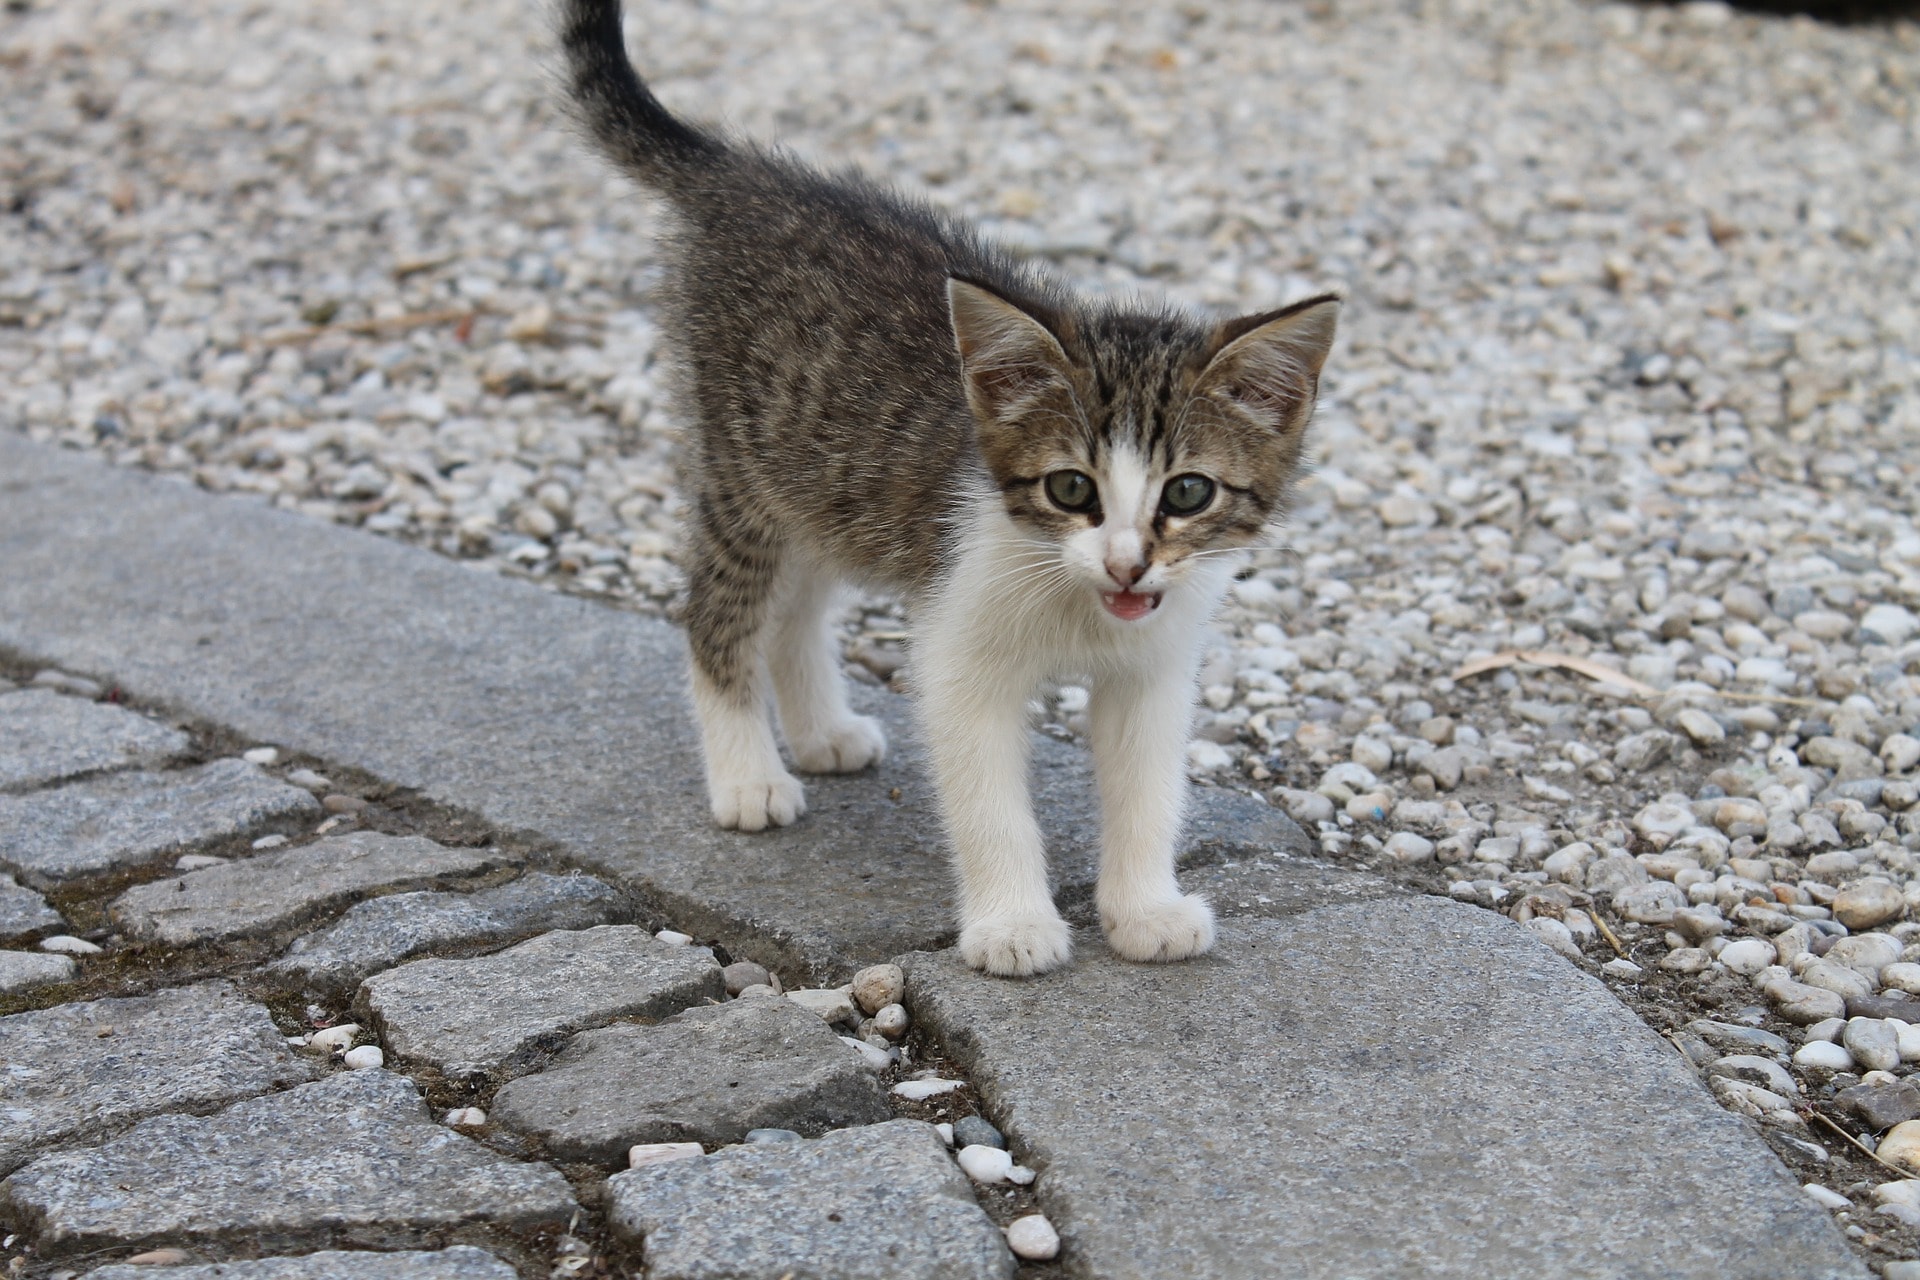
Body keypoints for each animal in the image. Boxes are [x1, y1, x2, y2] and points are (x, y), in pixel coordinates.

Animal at [556, 0, 1336, 974]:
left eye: (1188, 494)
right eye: (1071, 488)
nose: (1127, 564)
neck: (1072, 597)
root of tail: (744, 174)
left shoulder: (1154, 665)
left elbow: (1148, 784)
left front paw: (1144, 908)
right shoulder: (961, 648)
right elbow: (987, 798)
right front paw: (1013, 924)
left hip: (827, 478)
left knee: (796, 607)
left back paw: (820, 731)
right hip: (743, 466)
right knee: (720, 609)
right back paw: (748, 774)